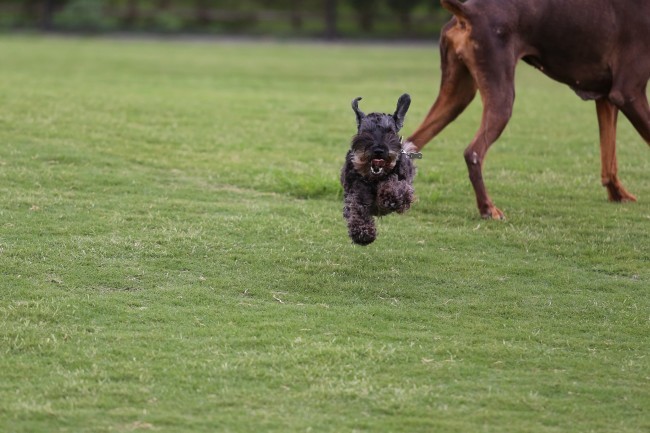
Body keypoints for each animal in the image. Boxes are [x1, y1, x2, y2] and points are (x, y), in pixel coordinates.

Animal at [340, 93, 420, 245]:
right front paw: (362, 233)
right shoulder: (354, 192)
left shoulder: (405, 186)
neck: (375, 178)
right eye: (366, 131)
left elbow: (397, 186)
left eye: (390, 132)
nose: (378, 150)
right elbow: (356, 207)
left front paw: (391, 196)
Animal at [404, 0, 648, 219]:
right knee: (472, 152)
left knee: (412, 142)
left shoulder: (606, 98)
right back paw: (487, 208)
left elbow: (609, 157)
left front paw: (618, 194)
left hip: (458, 96)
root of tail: (468, 11)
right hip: (501, 97)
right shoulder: (628, 94)